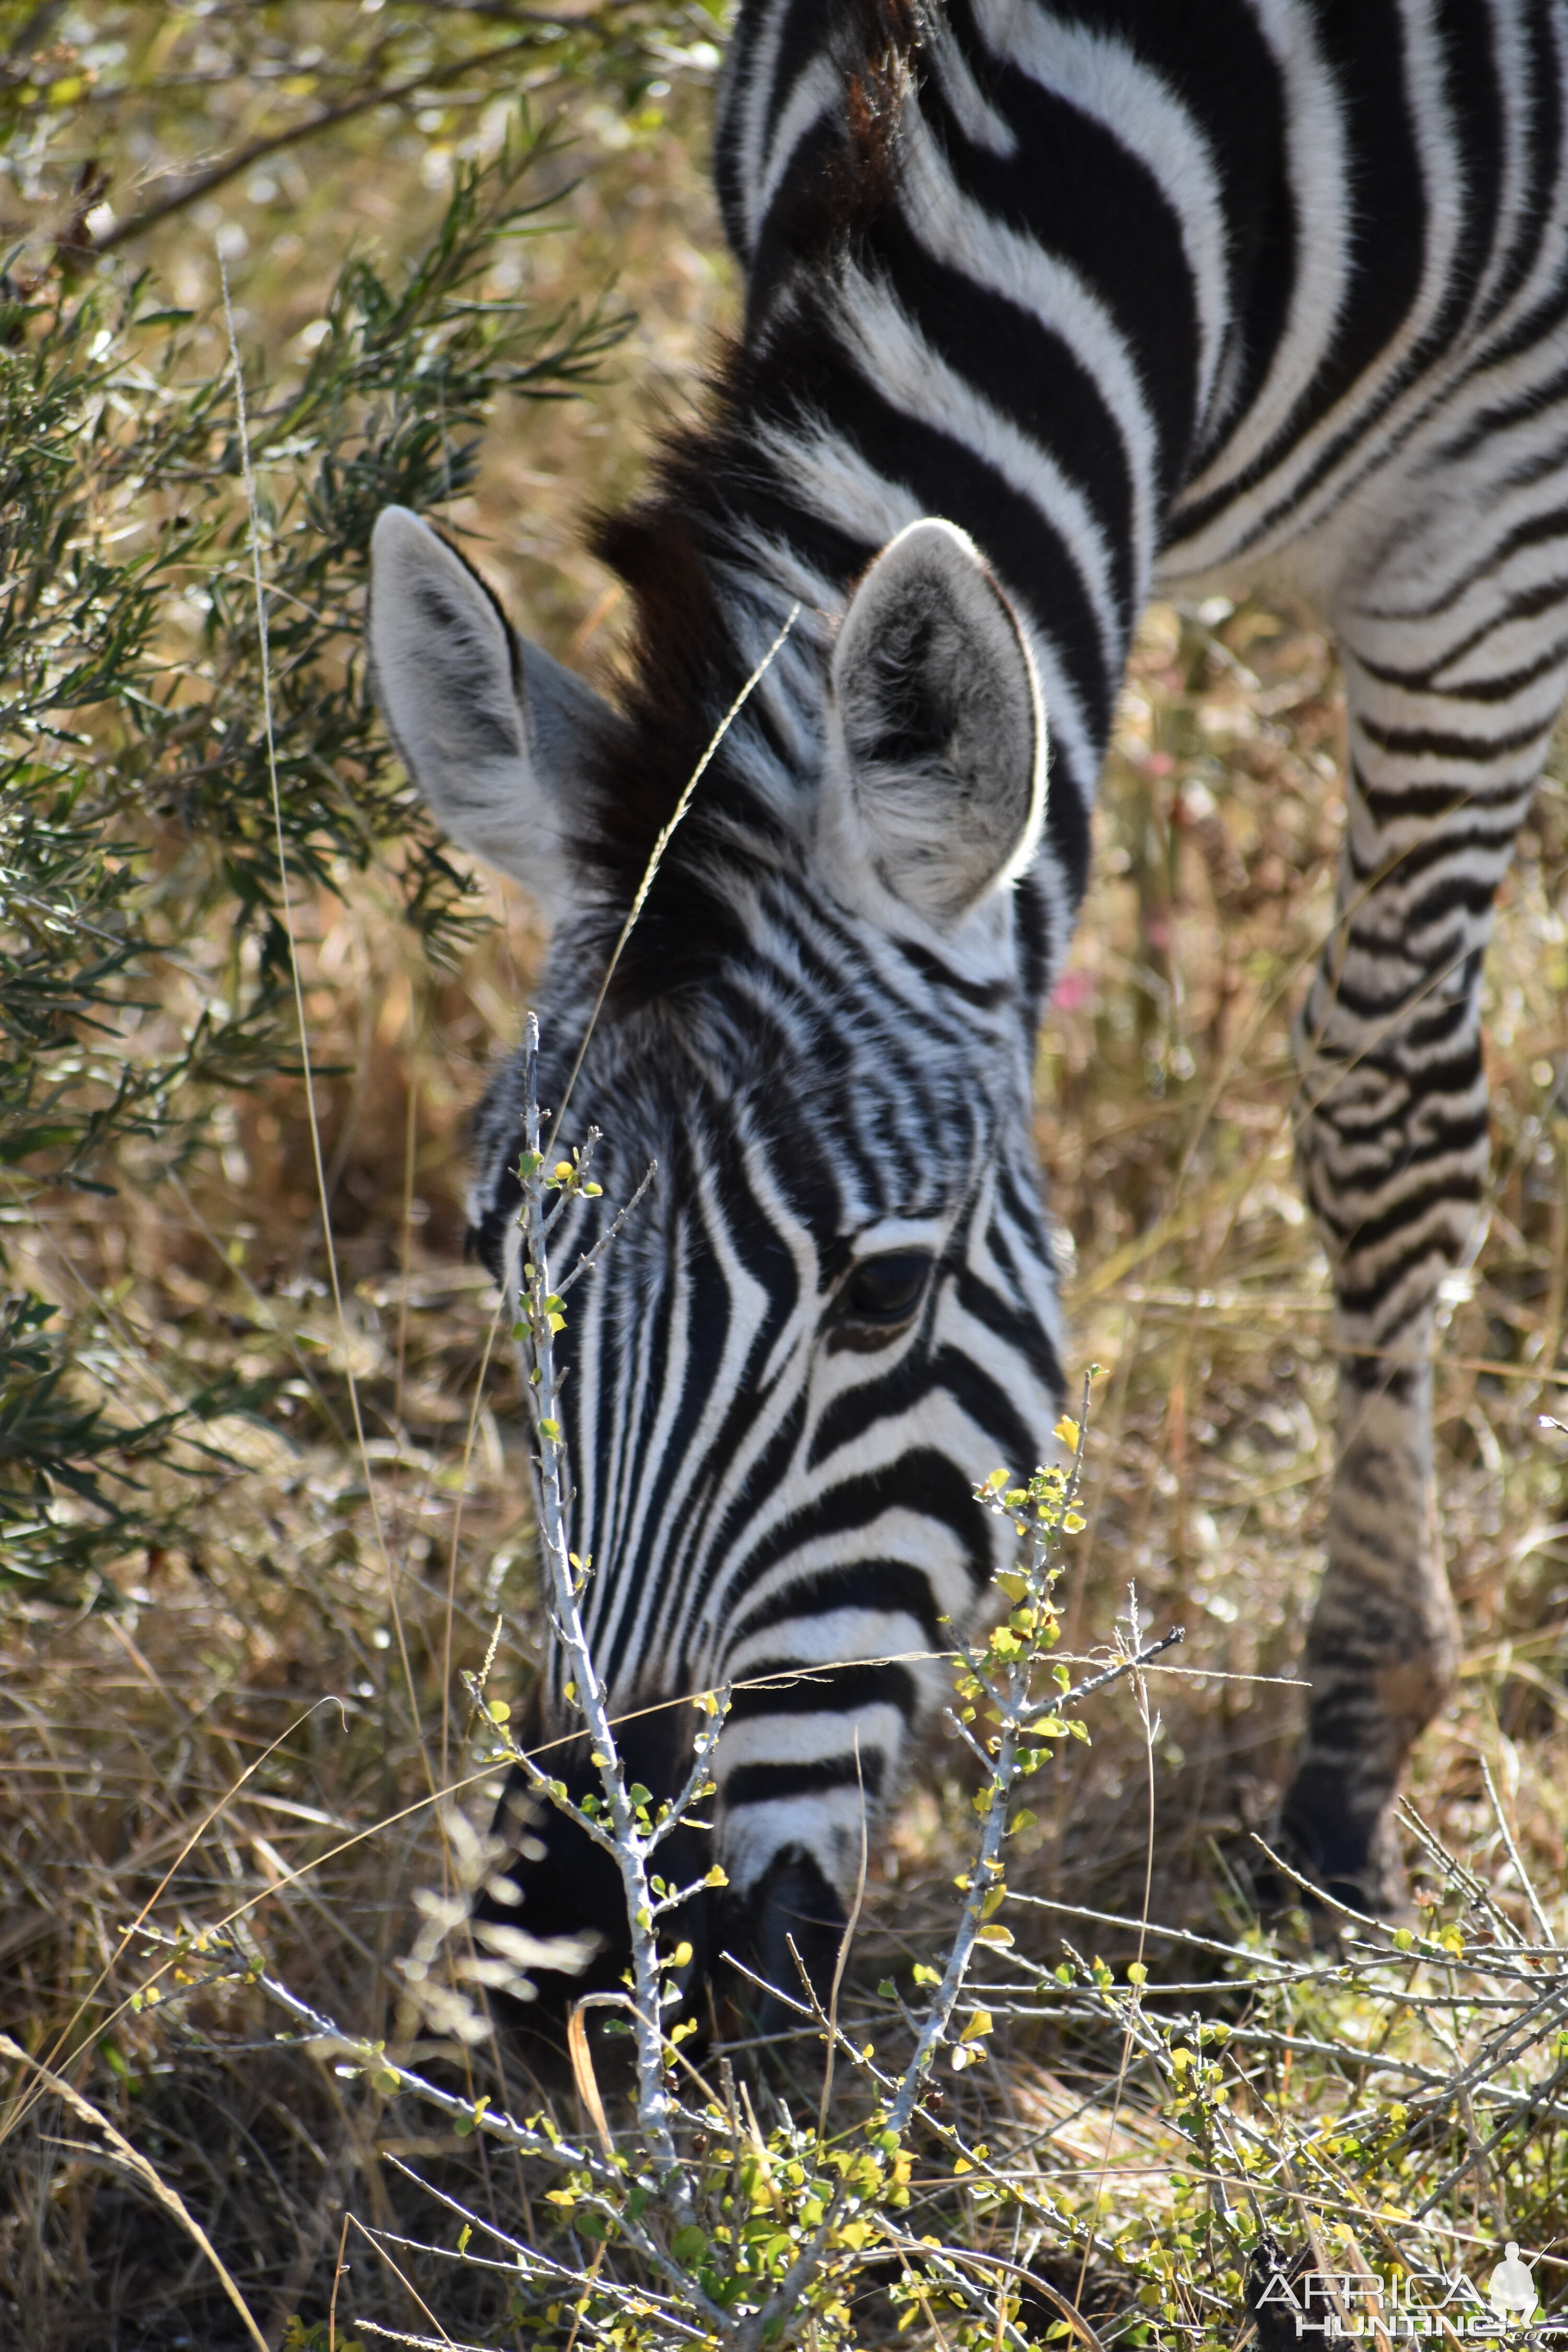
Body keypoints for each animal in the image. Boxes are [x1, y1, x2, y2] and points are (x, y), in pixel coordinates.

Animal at [369, 0, 1568, 2013]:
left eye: (883, 1296)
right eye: (495, 1262)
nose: (581, 1967)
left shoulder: (1478, 536)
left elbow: (1383, 1108)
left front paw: (1347, 1770)